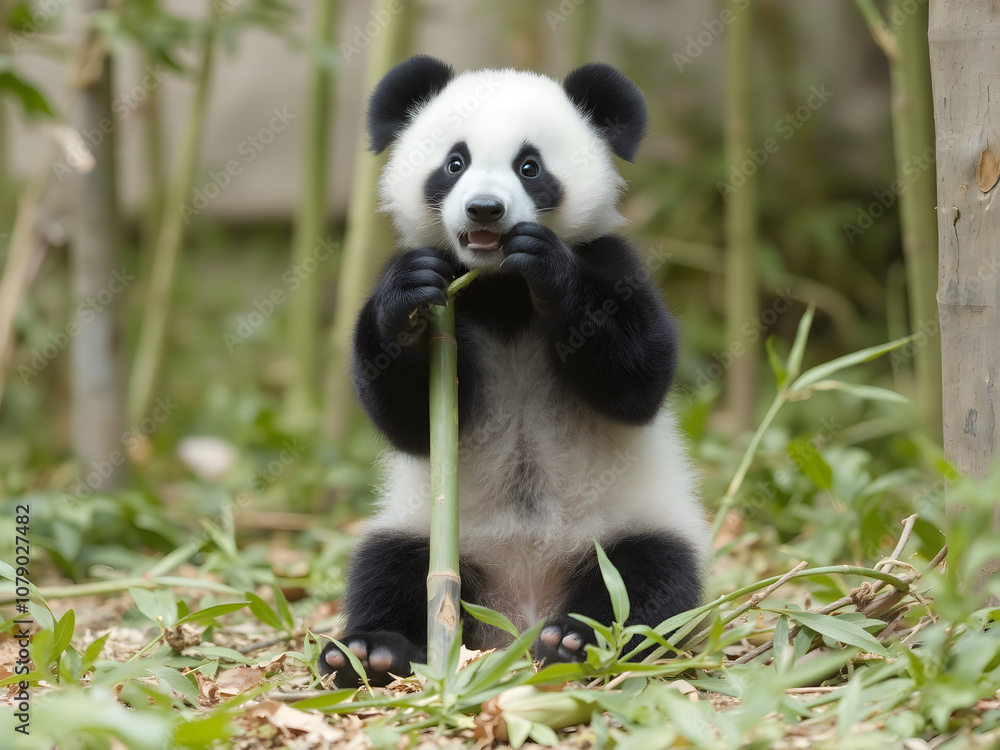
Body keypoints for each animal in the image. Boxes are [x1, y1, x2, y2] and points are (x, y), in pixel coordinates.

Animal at [319, 55, 709, 688]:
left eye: (530, 167)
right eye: (455, 162)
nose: (485, 209)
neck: (501, 286)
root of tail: (517, 619)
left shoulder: (611, 261)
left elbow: (638, 378)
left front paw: (551, 270)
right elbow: (405, 418)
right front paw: (406, 296)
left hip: (626, 527)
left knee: (647, 580)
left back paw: (579, 641)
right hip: (430, 536)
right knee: (389, 570)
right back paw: (370, 651)